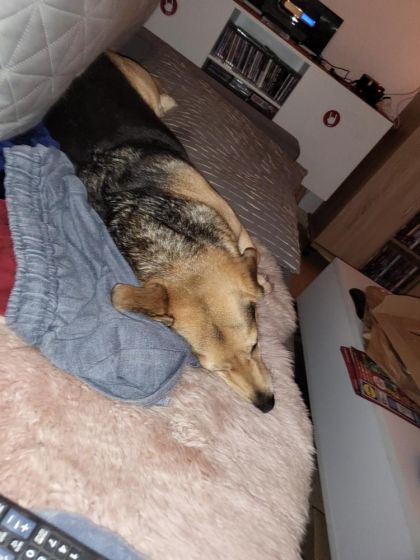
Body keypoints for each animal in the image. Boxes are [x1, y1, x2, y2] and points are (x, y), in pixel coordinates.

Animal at [45, 52, 275, 412]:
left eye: (255, 345)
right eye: (214, 370)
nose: (266, 405)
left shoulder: (233, 222)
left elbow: (250, 259)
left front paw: (262, 282)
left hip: (140, 82)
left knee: (158, 95)